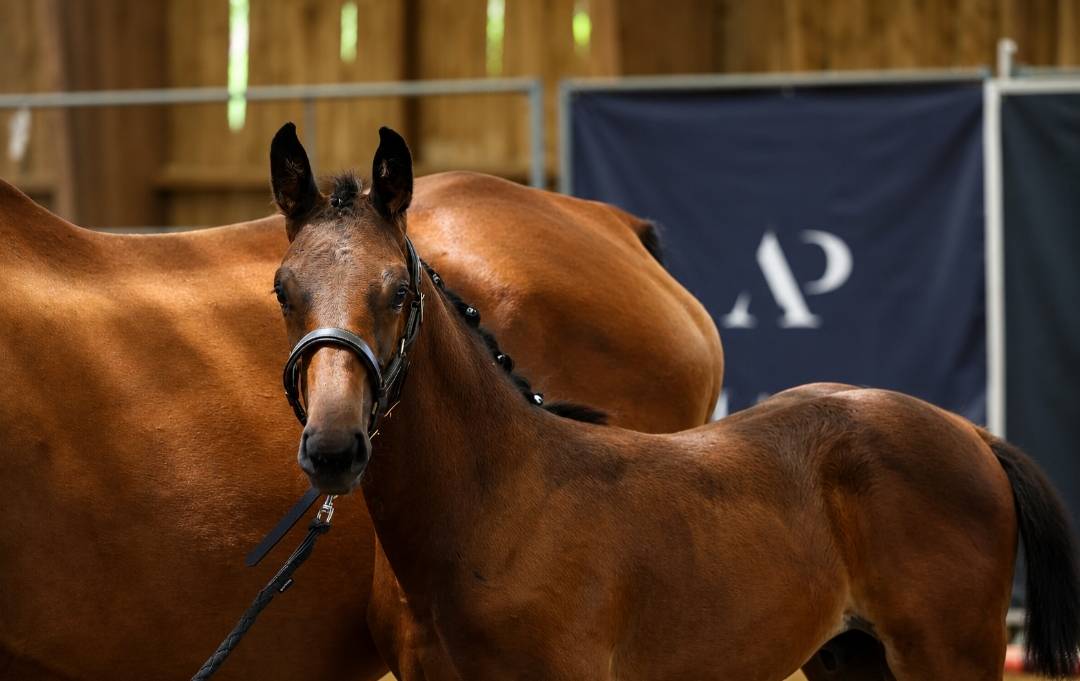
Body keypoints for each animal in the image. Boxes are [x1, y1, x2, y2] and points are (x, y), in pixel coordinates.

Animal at [269, 122, 1080, 680]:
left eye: (398, 290)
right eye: (283, 288)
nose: (334, 449)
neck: (491, 507)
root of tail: (972, 434)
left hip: (948, 654)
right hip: (852, 657)